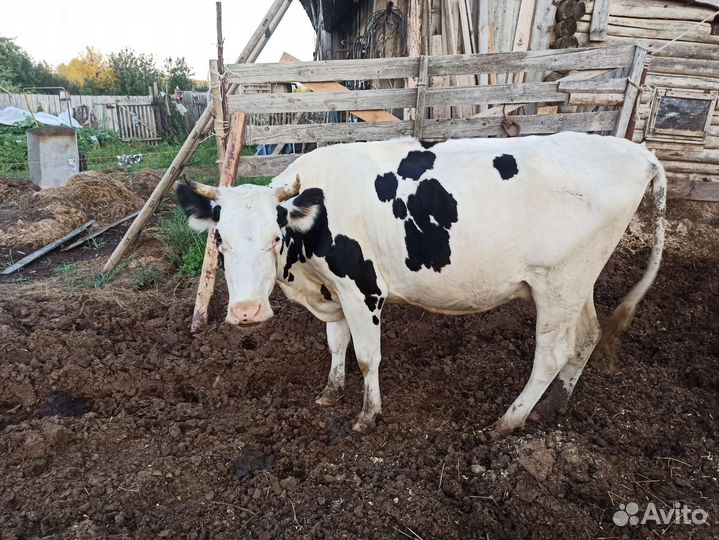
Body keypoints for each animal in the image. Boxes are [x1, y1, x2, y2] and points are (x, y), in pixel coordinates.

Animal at [176, 132, 666, 437]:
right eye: (219, 241)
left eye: (274, 237)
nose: (247, 313)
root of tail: (637, 152)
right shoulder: (333, 289)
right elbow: (336, 344)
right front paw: (330, 393)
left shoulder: (363, 289)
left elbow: (367, 357)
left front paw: (368, 415)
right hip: (578, 282)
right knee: (588, 336)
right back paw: (555, 405)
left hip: (558, 284)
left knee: (551, 354)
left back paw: (507, 421)